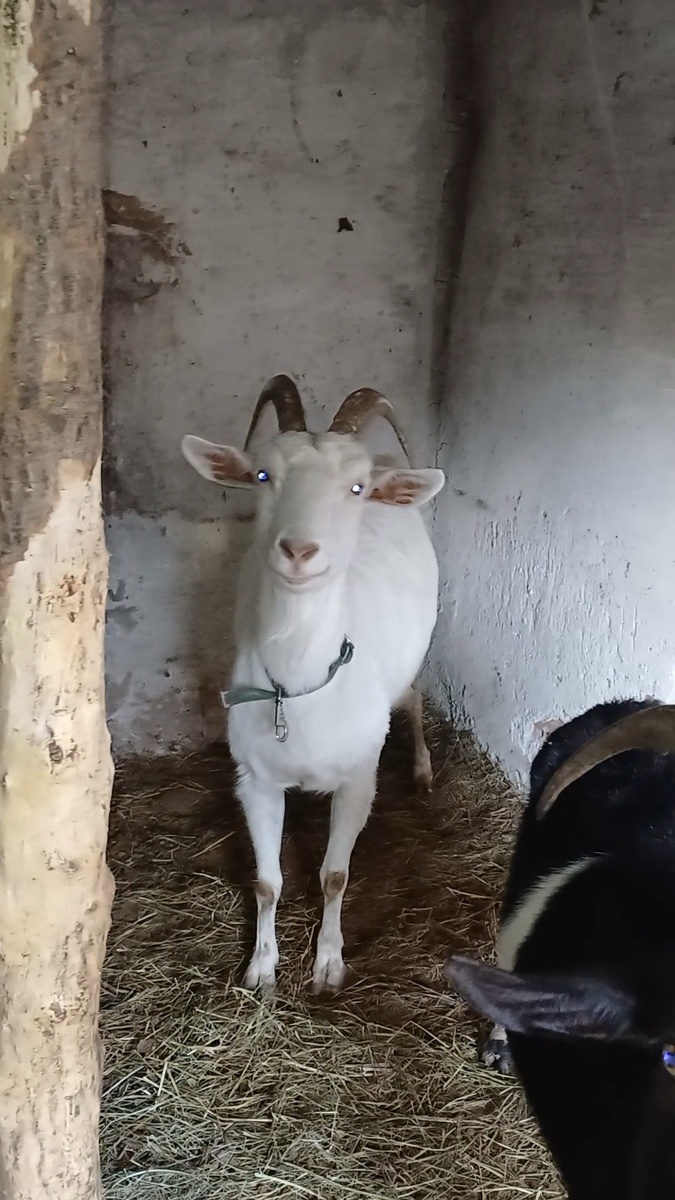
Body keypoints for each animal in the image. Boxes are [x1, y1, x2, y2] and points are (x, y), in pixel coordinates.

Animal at [181, 375, 445, 994]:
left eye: (355, 486)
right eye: (262, 475)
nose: (299, 550)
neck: (299, 689)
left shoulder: (358, 779)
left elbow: (335, 876)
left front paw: (328, 965)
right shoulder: (254, 779)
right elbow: (267, 882)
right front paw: (261, 968)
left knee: (414, 694)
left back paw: (423, 769)